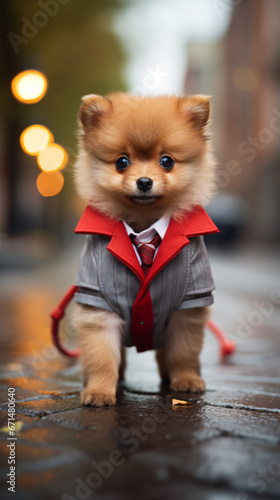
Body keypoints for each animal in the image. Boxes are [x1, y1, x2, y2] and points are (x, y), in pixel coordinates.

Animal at [72, 93, 217, 406]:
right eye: (122, 162)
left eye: (167, 161)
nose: (144, 181)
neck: (144, 224)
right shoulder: (98, 302)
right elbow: (102, 356)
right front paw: (99, 391)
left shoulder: (189, 303)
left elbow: (183, 351)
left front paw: (186, 379)